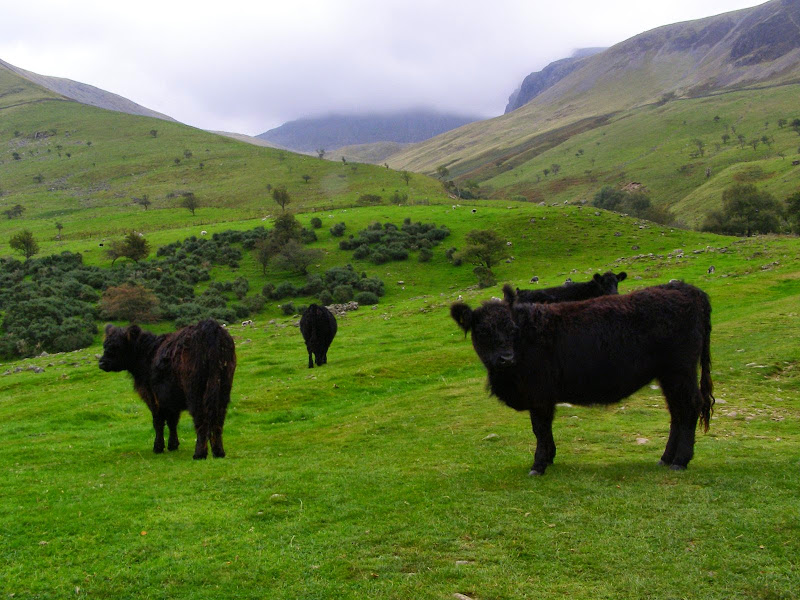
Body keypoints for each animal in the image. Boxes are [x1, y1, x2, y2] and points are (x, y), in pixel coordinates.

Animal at [98, 318, 236, 460]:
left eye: (117, 346)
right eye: (105, 345)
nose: (101, 363)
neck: (147, 354)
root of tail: (209, 325)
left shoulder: (153, 398)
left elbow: (158, 422)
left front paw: (158, 447)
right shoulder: (170, 399)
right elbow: (172, 421)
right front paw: (173, 445)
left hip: (195, 391)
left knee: (201, 418)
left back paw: (199, 454)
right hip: (223, 388)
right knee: (218, 419)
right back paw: (218, 452)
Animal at [454, 284, 716, 476]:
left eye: (512, 328)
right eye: (482, 332)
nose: (506, 358)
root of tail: (685, 287)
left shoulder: (538, 394)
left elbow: (539, 429)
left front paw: (538, 465)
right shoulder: (544, 397)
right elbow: (546, 429)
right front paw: (550, 457)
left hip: (680, 372)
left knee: (690, 408)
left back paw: (680, 461)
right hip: (668, 376)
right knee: (676, 412)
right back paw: (666, 458)